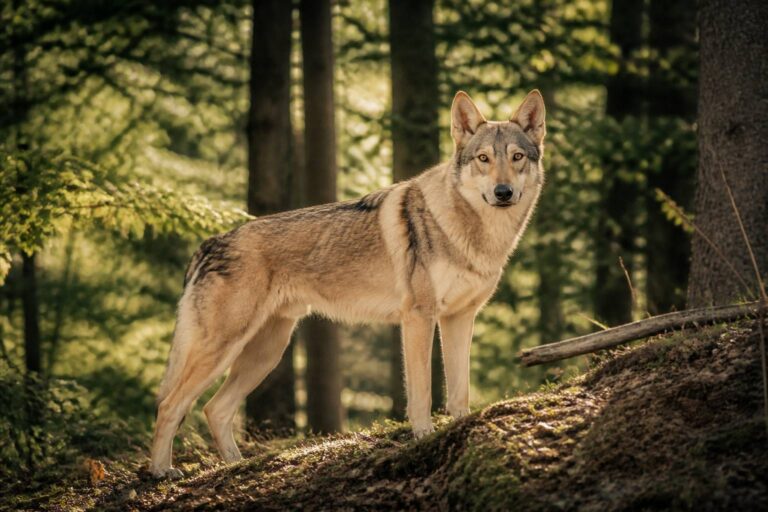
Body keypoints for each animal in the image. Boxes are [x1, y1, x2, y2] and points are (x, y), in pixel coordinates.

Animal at [150, 90, 546, 478]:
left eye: (517, 157)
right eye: (483, 158)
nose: (503, 192)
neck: (474, 233)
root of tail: (211, 241)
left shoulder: (459, 318)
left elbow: (459, 390)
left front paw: (460, 428)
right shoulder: (419, 317)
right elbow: (421, 392)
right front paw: (423, 438)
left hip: (266, 353)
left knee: (214, 409)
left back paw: (238, 466)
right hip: (225, 348)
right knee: (169, 404)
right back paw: (161, 472)